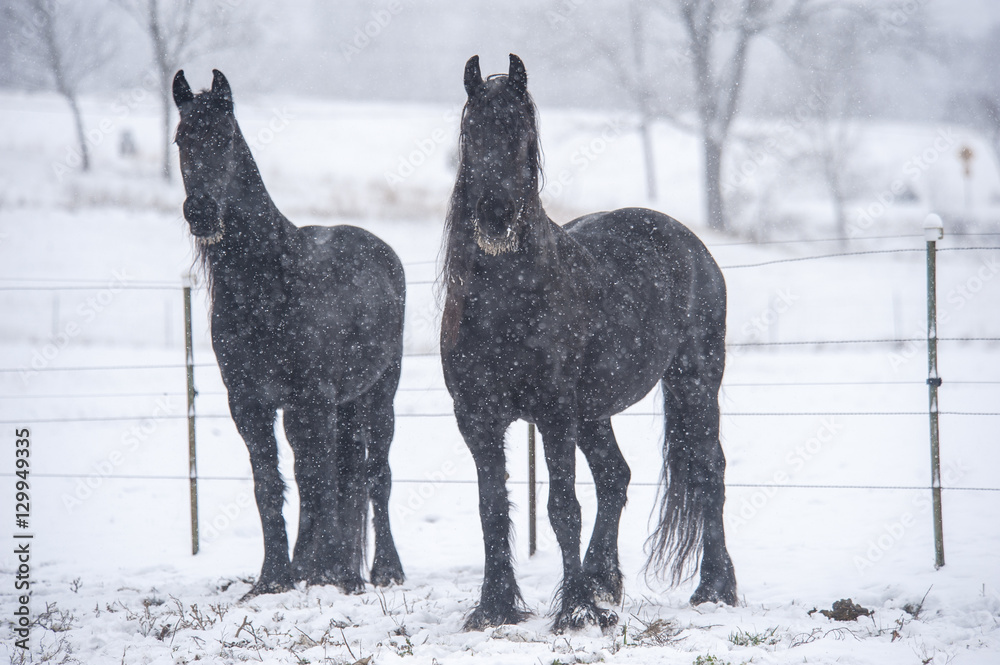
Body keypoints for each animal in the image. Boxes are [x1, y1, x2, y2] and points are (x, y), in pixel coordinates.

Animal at [172, 69, 406, 597]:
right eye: (180, 139)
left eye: (226, 137)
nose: (200, 211)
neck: (269, 283)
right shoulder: (250, 404)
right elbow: (270, 483)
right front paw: (275, 577)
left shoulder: (311, 399)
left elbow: (318, 481)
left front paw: (330, 576)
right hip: (338, 406)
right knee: (342, 476)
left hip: (378, 394)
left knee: (374, 475)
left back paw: (382, 570)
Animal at [440, 54, 738, 632]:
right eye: (470, 133)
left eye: (524, 133)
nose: (494, 214)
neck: (506, 300)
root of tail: (693, 246)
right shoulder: (478, 419)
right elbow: (492, 508)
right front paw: (494, 607)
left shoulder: (554, 415)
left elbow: (562, 509)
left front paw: (574, 611)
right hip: (595, 414)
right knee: (615, 477)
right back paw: (604, 583)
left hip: (694, 384)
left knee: (708, 469)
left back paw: (715, 588)